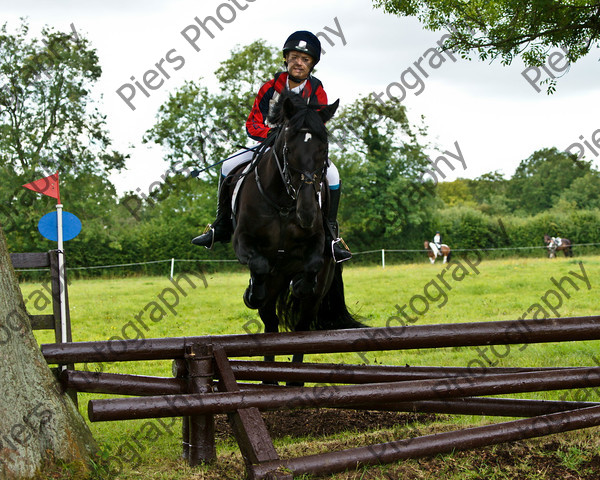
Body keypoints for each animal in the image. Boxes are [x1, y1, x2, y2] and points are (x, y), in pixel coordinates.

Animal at [227, 90, 364, 364]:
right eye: (288, 148)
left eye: (324, 148)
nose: (307, 213)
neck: (283, 202)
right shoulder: (243, 241)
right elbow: (259, 266)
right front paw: (251, 293)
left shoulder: (318, 243)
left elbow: (312, 266)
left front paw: (299, 284)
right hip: (272, 291)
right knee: (270, 326)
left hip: (314, 297)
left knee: (302, 332)